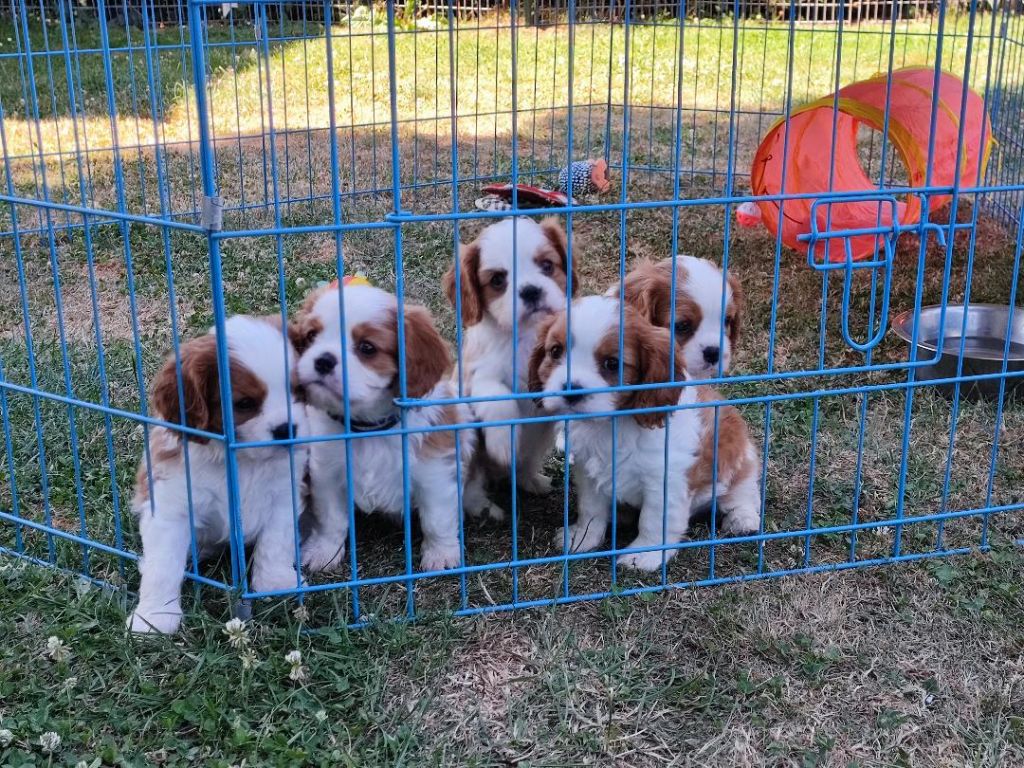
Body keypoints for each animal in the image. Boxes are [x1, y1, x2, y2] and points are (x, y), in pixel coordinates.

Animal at [129, 315, 303, 634]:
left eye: (298, 390)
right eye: (244, 404)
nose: (287, 429)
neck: (241, 460)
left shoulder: (285, 495)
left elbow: (276, 542)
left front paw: (276, 583)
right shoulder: (171, 507)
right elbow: (162, 567)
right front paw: (153, 619)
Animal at [290, 280, 477, 573]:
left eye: (367, 348)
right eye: (311, 336)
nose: (323, 360)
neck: (368, 426)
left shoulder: (434, 471)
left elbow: (437, 519)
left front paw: (441, 555)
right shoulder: (327, 474)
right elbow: (330, 520)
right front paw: (324, 551)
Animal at [444, 215, 577, 499]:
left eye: (547, 265)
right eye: (497, 280)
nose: (531, 291)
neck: (525, 334)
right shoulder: (475, 377)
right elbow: (498, 397)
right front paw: (504, 444)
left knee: (525, 466)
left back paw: (533, 481)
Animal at [528, 296, 704, 573]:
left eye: (612, 364)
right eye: (555, 351)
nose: (570, 389)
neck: (611, 423)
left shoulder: (666, 479)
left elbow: (654, 520)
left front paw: (645, 554)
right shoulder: (590, 472)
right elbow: (591, 509)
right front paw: (583, 537)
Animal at [606, 257, 761, 536]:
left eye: (727, 321)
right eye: (683, 326)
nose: (714, 351)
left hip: (742, 456)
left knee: (742, 488)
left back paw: (742, 519)